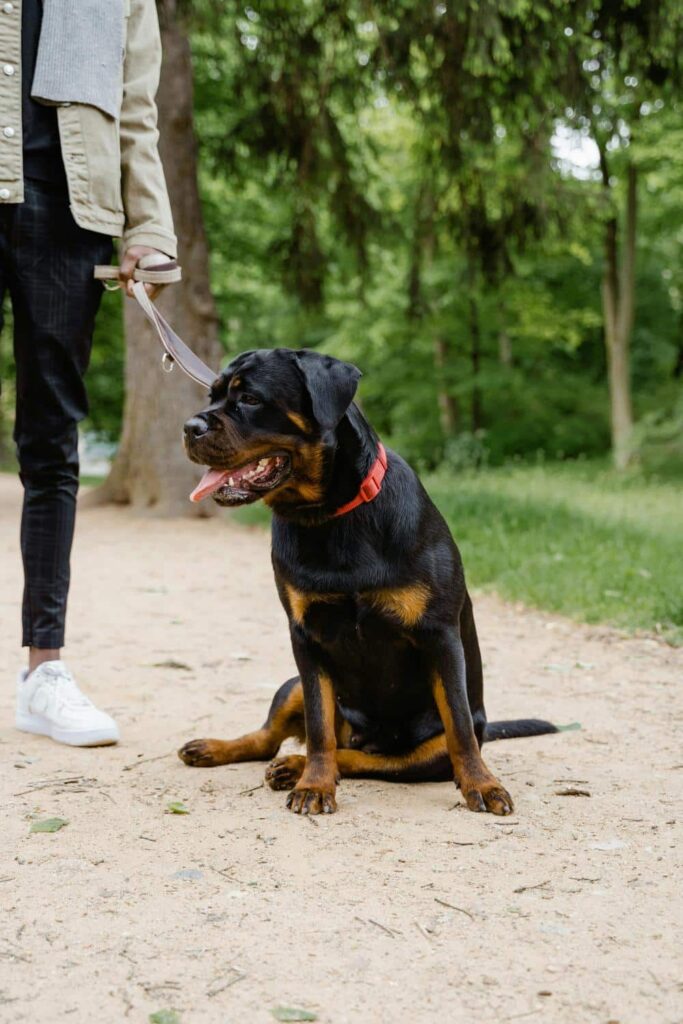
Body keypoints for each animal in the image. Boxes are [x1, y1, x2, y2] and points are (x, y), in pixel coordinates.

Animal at [179, 350, 557, 815]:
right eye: (212, 396)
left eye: (249, 398)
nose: (190, 427)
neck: (330, 517)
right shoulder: (306, 639)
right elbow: (319, 726)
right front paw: (315, 784)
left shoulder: (439, 636)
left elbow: (460, 728)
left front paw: (482, 785)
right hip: (292, 685)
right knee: (274, 738)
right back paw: (226, 750)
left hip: (424, 750)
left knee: (375, 757)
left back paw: (293, 765)